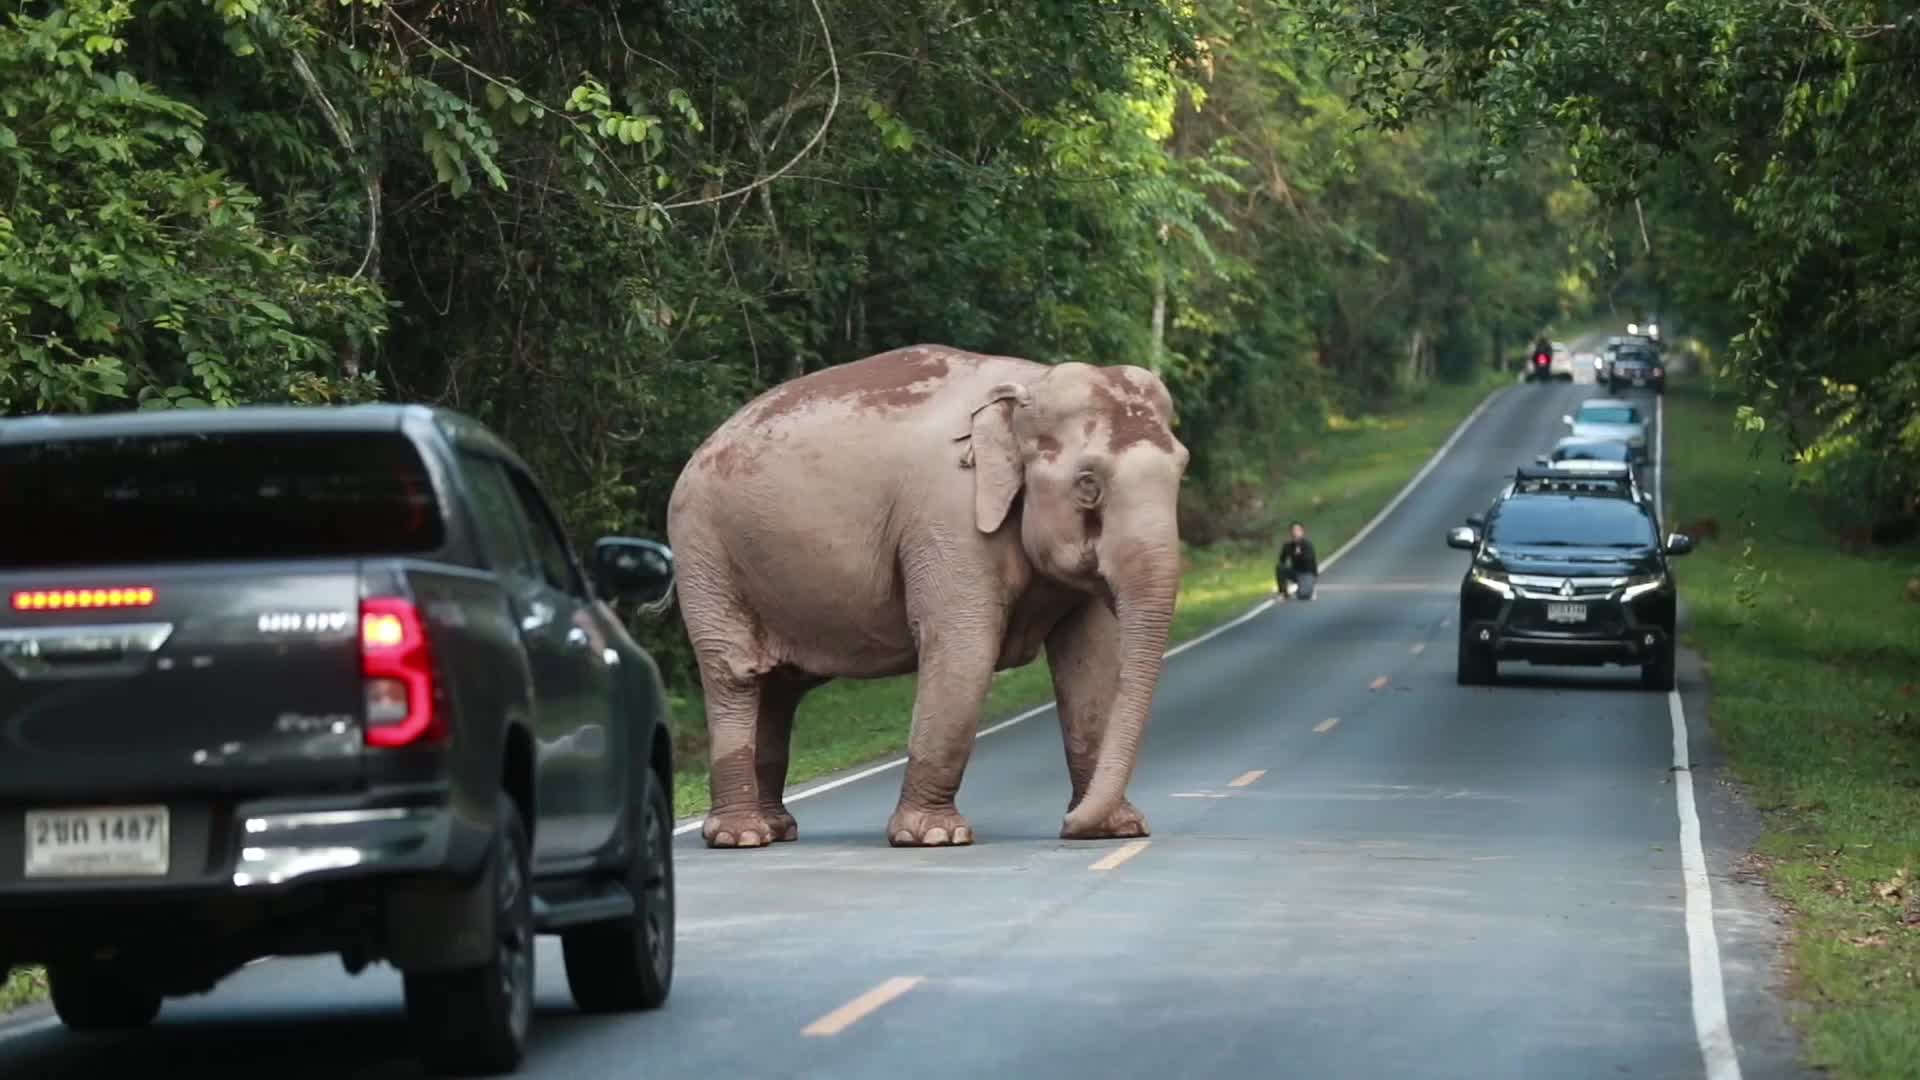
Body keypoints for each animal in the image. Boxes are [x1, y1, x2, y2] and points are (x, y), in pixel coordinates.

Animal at [668, 340, 1190, 845]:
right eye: (1088, 484)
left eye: (1182, 470)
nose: (1066, 824)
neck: (1027, 384)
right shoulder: (947, 518)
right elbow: (963, 650)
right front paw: (935, 835)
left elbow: (1091, 660)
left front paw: (1116, 830)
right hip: (704, 554)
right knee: (735, 675)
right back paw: (741, 836)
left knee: (779, 689)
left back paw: (777, 829)